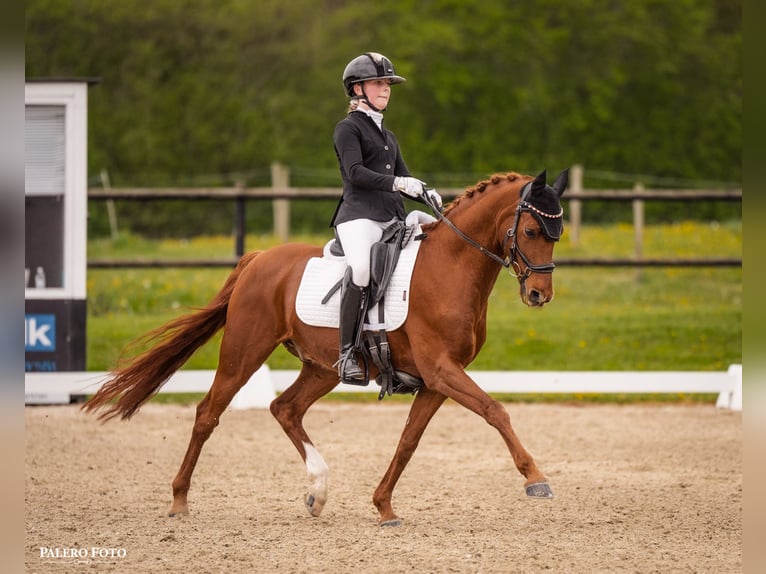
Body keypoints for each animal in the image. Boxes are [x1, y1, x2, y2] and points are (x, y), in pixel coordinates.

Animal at [83, 169, 569, 526]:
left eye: (557, 234)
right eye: (530, 229)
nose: (540, 295)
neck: (450, 266)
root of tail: (258, 259)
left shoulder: (435, 380)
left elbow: (408, 441)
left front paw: (384, 506)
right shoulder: (441, 369)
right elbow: (495, 410)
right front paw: (536, 479)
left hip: (324, 367)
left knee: (285, 409)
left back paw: (317, 490)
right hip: (244, 352)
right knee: (208, 414)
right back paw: (180, 501)